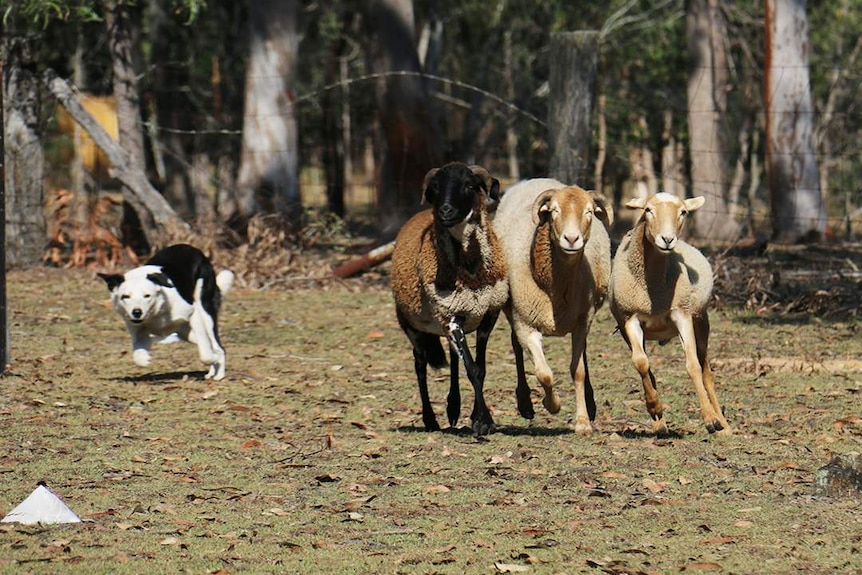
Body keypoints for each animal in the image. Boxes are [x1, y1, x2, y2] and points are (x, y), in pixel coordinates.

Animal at [98, 245, 236, 380]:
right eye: (125, 297)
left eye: (147, 295)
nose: (137, 312)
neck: (157, 312)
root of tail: (195, 250)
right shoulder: (139, 331)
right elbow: (138, 354)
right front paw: (144, 358)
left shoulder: (193, 314)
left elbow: (206, 354)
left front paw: (213, 358)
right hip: (185, 333)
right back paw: (212, 372)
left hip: (205, 312)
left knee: (217, 346)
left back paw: (219, 374)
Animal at [388, 162, 510, 436]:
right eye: (435, 187)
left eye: (469, 185)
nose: (445, 210)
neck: (471, 271)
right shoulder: (451, 317)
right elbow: (472, 369)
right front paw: (483, 422)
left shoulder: (487, 315)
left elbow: (480, 368)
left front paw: (479, 418)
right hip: (412, 324)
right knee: (420, 365)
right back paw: (430, 420)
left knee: (454, 358)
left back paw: (453, 409)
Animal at [492, 178, 616, 434]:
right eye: (554, 211)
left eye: (589, 211)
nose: (571, 239)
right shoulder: (525, 323)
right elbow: (544, 374)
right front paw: (553, 404)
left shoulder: (583, 319)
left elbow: (577, 371)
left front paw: (582, 422)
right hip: (513, 312)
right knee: (516, 347)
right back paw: (525, 404)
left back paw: (590, 403)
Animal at [612, 192, 732, 436]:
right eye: (648, 209)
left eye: (683, 212)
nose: (667, 240)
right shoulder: (630, 318)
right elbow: (641, 363)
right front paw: (654, 407)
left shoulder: (682, 314)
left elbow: (693, 366)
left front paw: (710, 419)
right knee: (649, 368)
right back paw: (659, 424)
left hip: (701, 322)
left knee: (706, 372)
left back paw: (722, 424)